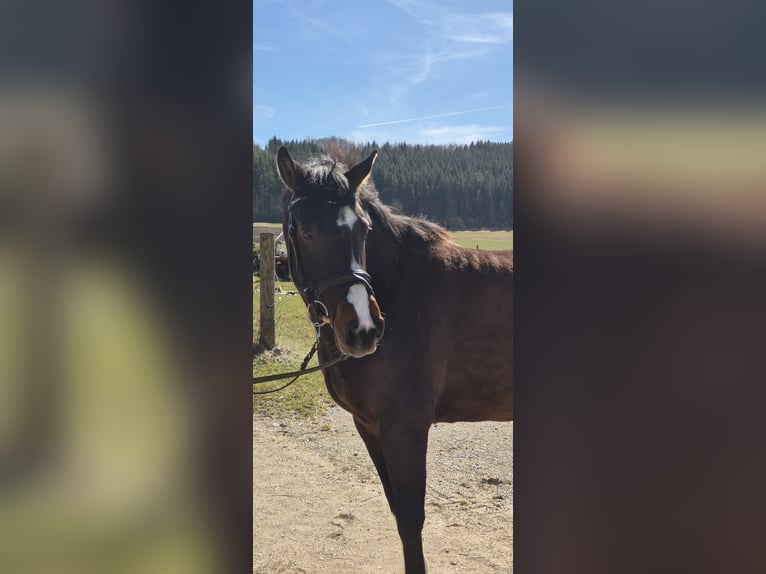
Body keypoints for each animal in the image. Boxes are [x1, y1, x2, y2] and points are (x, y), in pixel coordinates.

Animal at [275, 146, 513, 573]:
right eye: (305, 230)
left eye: (364, 229)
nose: (364, 329)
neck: (401, 287)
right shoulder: (369, 426)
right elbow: (396, 510)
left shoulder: (405, 428)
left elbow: (410, 519)